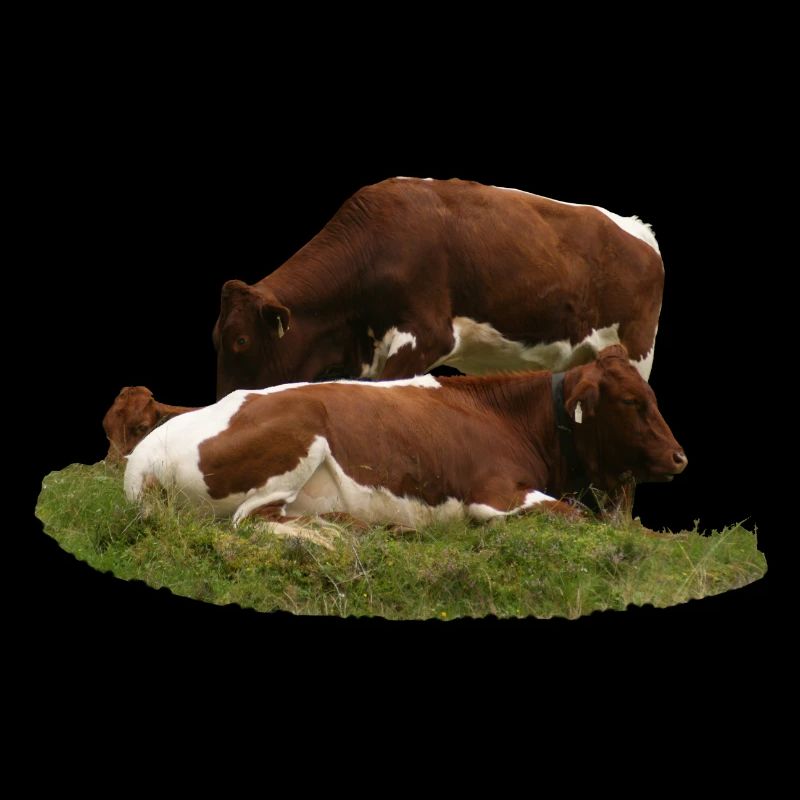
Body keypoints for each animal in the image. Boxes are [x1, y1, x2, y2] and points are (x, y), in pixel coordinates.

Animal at [124, 346, 686, 530]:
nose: (681, 457)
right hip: (300, 430)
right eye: (632, 402)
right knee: (254, 519)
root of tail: (141, 460)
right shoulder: (493, 493)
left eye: (651, 395)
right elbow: (578, 517)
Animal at [213, 177, 664, 399]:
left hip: (636, 351)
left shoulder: (427, 335)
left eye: (240, 340)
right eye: (216, 338)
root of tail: (637, 229)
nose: (221, 404)